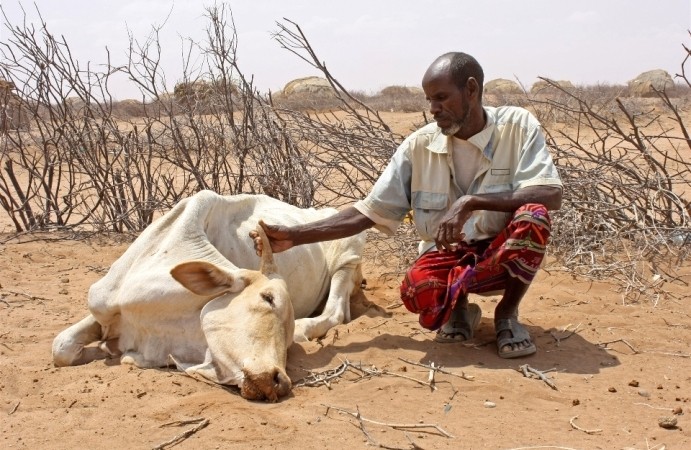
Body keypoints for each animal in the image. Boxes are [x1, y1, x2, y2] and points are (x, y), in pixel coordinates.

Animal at [52, 190, 366, 401]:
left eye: (287, 341)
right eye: (267, 298)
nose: (279, 381)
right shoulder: (101, 309)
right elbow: (61, 348)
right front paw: (103, 349)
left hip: (349, 254)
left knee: (336, 310)